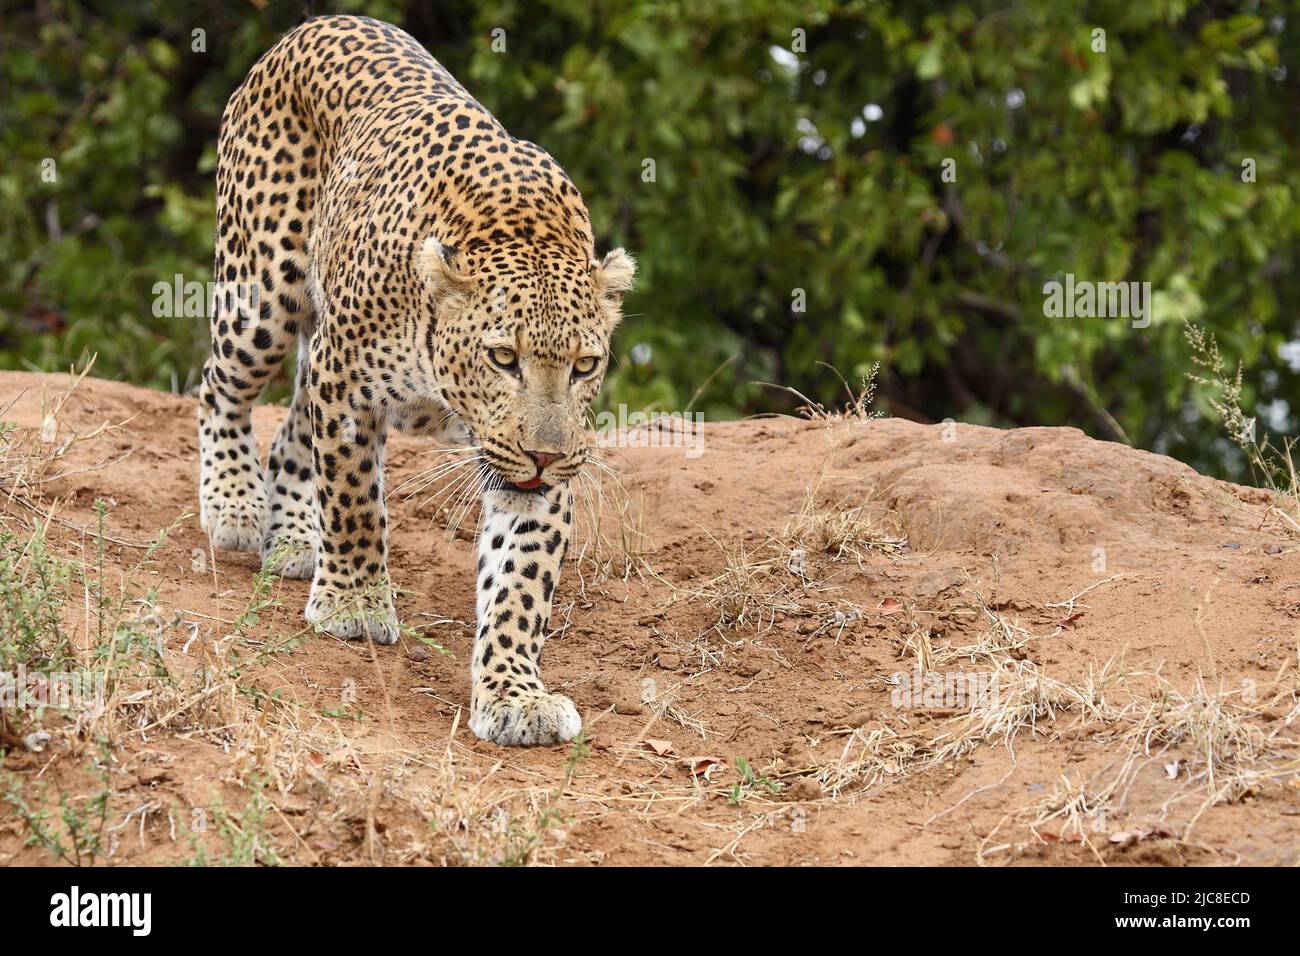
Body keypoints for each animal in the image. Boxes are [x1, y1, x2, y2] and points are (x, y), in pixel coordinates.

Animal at [197, 14, 634, 747]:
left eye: (584, 365)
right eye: (503, 358)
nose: (543, 456)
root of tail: (318, 23)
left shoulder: (534, 466)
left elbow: (520, 582)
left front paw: (515, 695)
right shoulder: (347, 384)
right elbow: (354, 503)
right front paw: (353, 603)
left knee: (290, 437)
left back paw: (294, 541)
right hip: (262, 294)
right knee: (218, 385)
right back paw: (235, 506)